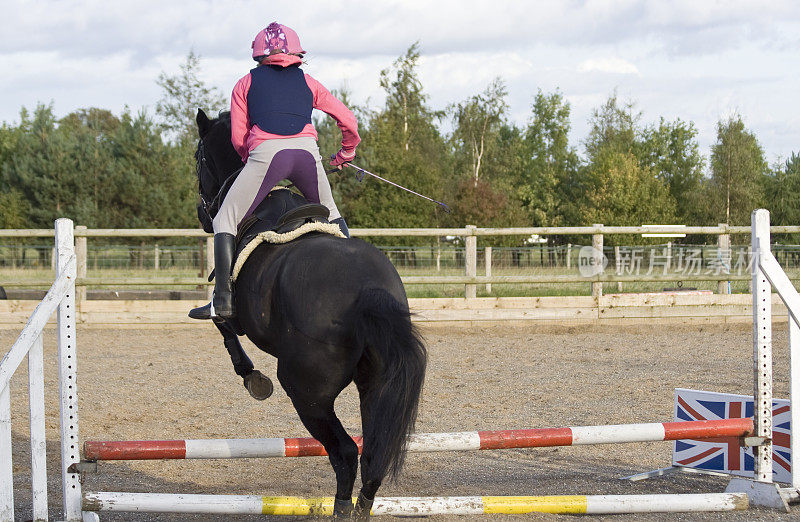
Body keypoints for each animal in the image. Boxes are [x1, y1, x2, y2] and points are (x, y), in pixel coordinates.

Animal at [193, 108, 424, 516]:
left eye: (198, 158)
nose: (200, 213)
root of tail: (368, 291)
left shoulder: (231, 312)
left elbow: (223, 325)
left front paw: (251, 376)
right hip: (376, 385)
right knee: (373, 455)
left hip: (307, 394)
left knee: (345, 453)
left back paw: (341, 509)